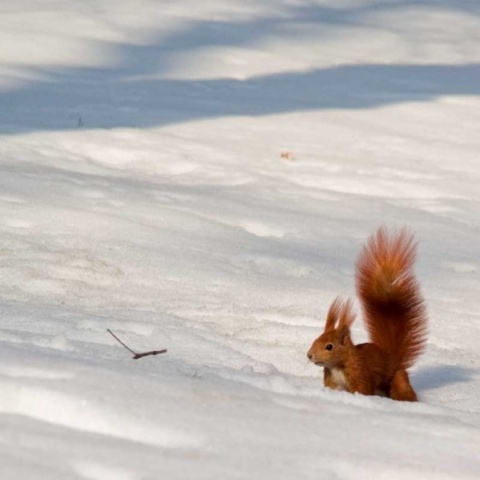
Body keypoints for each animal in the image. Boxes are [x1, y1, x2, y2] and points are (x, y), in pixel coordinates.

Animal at [308, 227, 428, 400]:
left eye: (329, 346)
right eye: (315, 339)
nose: (309, 355)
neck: (337, 366)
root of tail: (393, 358)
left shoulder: (360, 375)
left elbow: (362, 390)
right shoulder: (333, 382)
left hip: (398, 380)